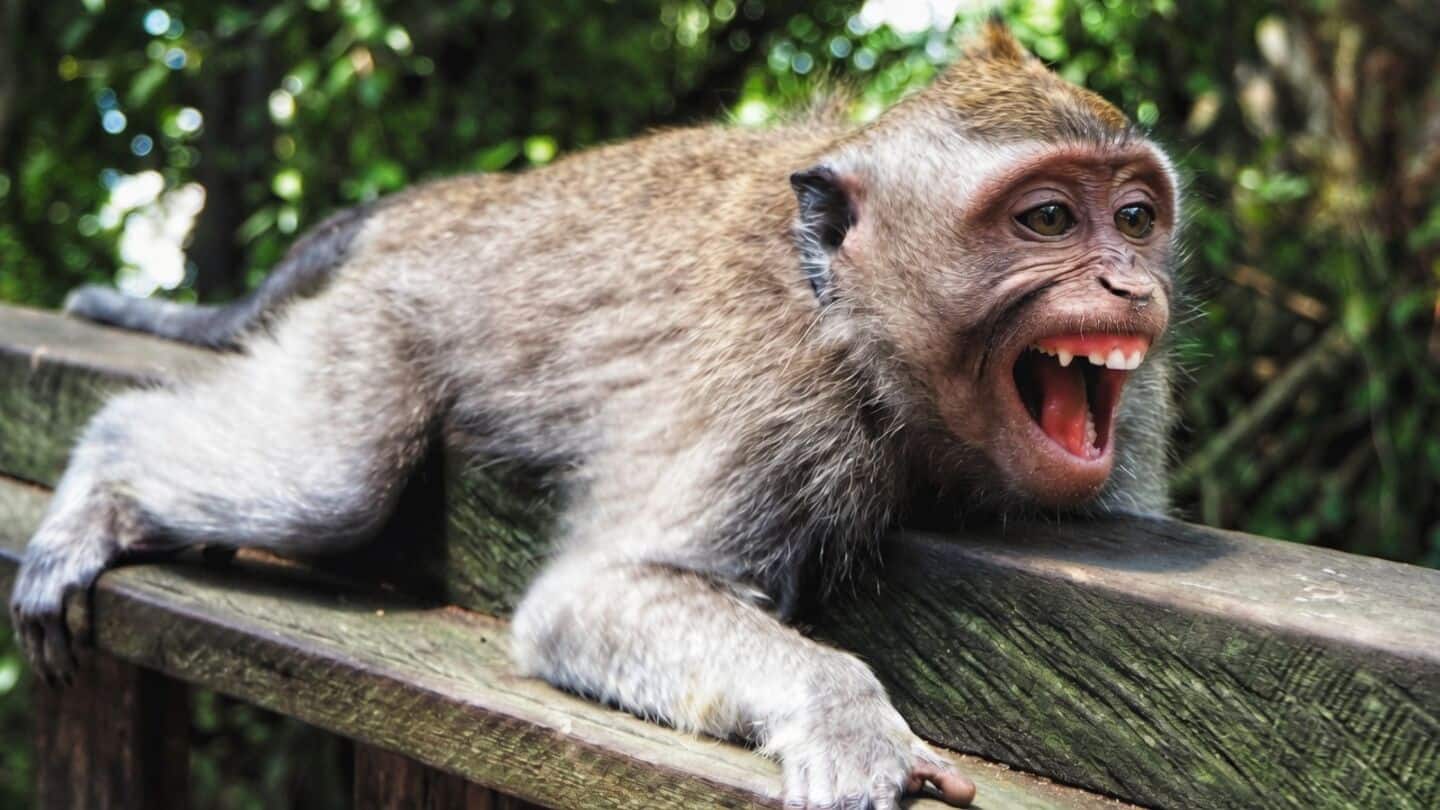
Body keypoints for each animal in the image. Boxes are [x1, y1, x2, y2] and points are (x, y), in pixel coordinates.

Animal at [11, 22, 1180, 810]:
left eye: (1134, 216)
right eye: (1047, 218)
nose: (1131, 284)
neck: (854, 323)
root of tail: (452, 199)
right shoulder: (780, 401)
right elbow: (590, 599)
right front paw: (847, 714)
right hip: (384, 316)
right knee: (327, 486)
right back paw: (104, 477)